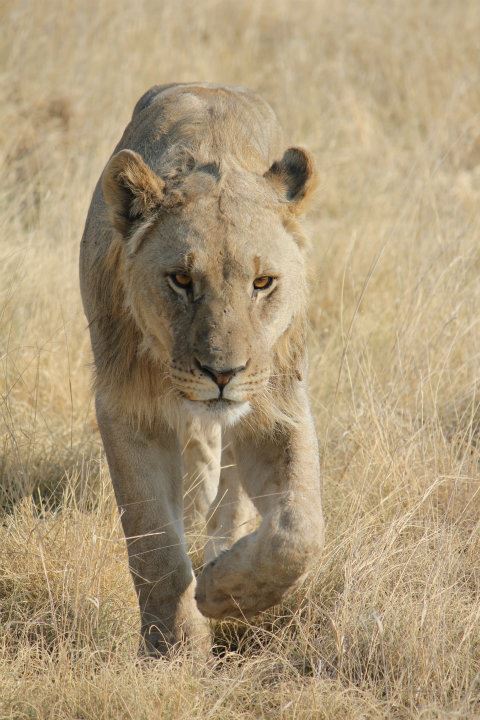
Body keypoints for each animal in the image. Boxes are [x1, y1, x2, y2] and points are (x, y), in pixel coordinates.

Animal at [80, 81, 324, 656]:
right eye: (181, 280)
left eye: (263, 283)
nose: (222, 374)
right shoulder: (127, 409)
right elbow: (156, 550)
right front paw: (175, 651)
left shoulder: (277, 406)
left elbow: (298, 531)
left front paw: (224, 594)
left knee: (229, 501)